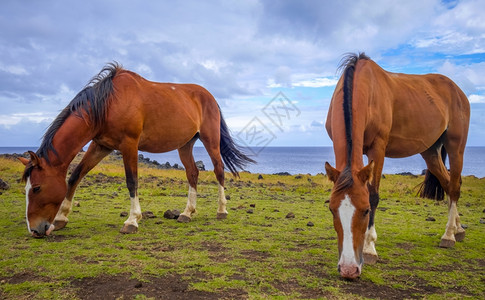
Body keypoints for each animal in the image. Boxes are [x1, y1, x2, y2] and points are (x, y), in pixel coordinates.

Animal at [18, 62, 253, 237]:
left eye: (36, 188)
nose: (35, 230)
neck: (107, 104)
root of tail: (209, 96)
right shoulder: (100, 145)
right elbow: (75, 175)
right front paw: (61, 218)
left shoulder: (129, 145)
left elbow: (132, 181)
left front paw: (132, 221)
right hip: (185, 144)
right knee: (192, 173)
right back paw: (186, 213)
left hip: (210, 140)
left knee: (219, 170)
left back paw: (221, 210)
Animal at [326, 53, 468, 278]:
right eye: (332, 210)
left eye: (366, 211)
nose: (348, 269)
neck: (363, 86)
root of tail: (457, 90)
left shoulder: (378, 148)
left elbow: (373, 195)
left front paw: (369, 249)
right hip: (430, 152)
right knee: (448, 184)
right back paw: (458, 229)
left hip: (456, 146)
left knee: (454, 187)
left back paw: (448, 235)